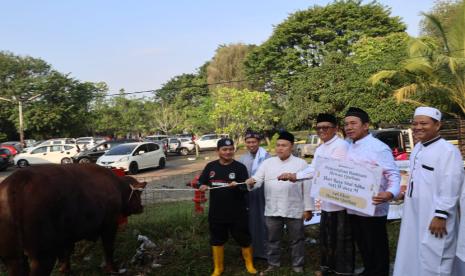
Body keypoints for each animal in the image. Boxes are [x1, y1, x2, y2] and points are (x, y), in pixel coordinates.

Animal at [0, 164, 146, 274]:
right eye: (138, 194)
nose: (141, 207)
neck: (117, 187)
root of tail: (18, 182)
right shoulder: (109, 225)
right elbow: (109, 248)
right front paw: (112, 269)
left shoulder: (67, 237)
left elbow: (67, 254)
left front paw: (65, 270)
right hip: (42, 257)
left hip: (12, 258)